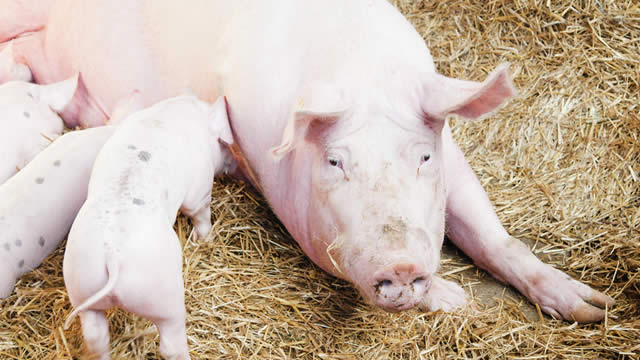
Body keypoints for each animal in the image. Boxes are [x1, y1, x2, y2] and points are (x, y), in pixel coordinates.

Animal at [62, 95, 232, 360]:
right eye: (223, 144)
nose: (229, 166)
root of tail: (112, 255)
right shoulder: (199, 189)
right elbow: (200, 212)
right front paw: (205, 239)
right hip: (163, 296)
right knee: (170, 343)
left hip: (81, 283)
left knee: (95, 336)